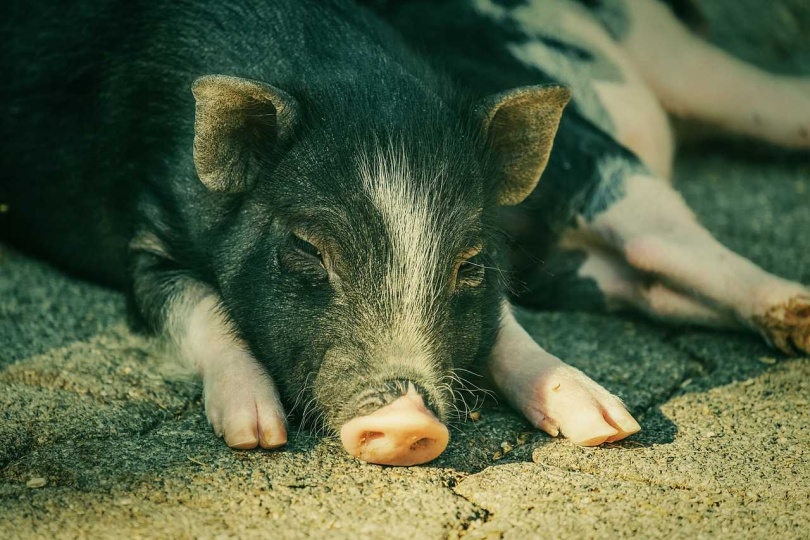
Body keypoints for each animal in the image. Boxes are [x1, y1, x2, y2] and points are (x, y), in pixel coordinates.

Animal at [0, 0, 800, 466]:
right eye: (305, 249)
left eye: (467, 263)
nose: (410, 421)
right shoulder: (140, 235)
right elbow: (197, 308)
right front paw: (256, 434)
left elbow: (502, 323)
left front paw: (607, 426)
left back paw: (794, 319)